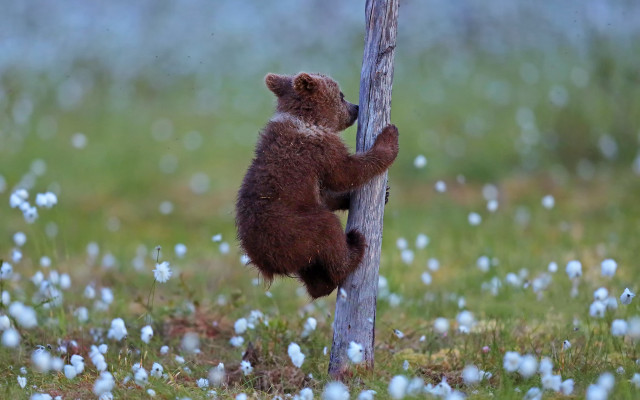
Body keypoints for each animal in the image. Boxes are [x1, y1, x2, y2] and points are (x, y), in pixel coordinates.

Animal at [235, 72, 399, 299]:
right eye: (341, 95)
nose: (356, 107)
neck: (309, 119)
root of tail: (265, 264)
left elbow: (327, 192)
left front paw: (380, 195)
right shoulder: (319, 150)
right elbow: (346, 172)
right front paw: (389, 137)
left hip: (297, 248)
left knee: (313, 270)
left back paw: (322, 284)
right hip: (293, 229)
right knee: (328, 229)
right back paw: (354, 248)